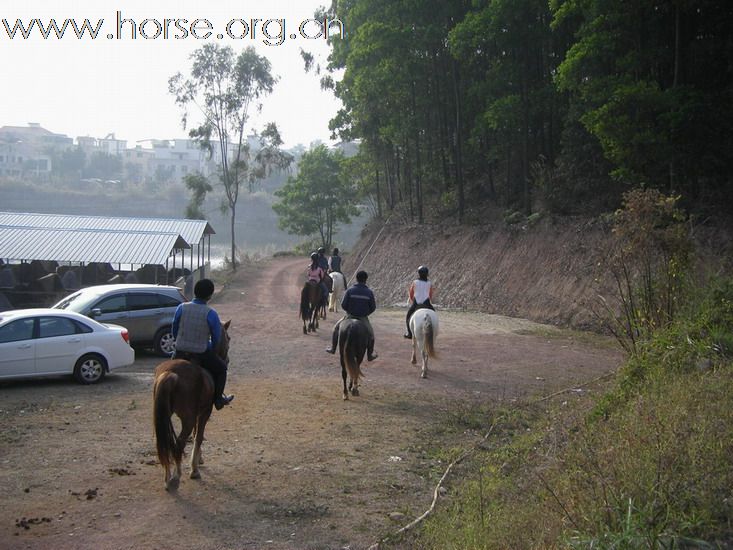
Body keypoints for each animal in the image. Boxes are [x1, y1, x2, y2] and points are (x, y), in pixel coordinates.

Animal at [154, 322, 232, 494]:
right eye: (228, 338)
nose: (227, 360)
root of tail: (171, 374)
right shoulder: (204, 412)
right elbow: (199, 436)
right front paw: (194, 469)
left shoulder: (198, 412)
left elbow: (197, 435)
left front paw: (198, 460)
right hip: (187, 419)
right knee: (178, 444)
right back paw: (176, 477)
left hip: (165, 416)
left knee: (165, 444)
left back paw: (167, 478)